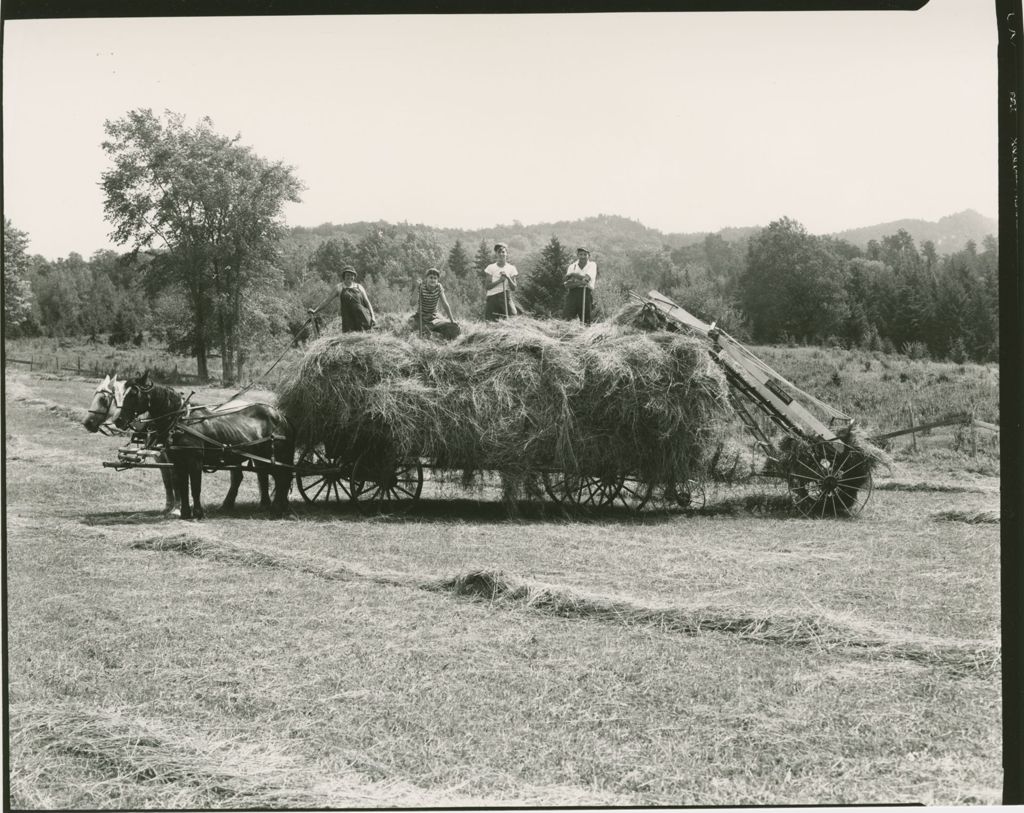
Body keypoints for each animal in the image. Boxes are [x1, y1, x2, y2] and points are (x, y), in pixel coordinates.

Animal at [119, 372, 296, 520]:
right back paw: (274, 507)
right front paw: (185, 513)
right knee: (268, 477)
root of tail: (280, 416)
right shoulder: (178, 462)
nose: (119, 420)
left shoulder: (195, 461)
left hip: (277, 456)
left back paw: (277, 509)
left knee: (282, 477)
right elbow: (183, 487)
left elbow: (195, 487)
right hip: (263, 458)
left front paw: (198, 513)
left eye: (133, 394)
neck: (181, 422)